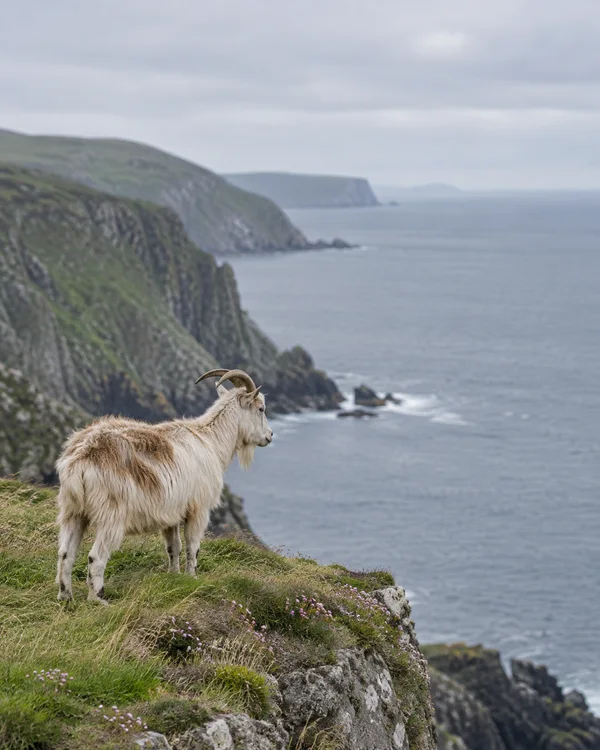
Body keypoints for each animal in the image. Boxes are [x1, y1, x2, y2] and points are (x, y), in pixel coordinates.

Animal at [55, 369, 273, 604]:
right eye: (261, 408)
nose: (270, 436)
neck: (210, 441)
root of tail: (81, 458)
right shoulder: (199, 510)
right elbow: (192, 547)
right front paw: (192, 578)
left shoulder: (172, 514)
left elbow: (173, 547)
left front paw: (174, 576)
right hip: (110, 516)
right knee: (96, 557)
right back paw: (98, 600)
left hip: (73, 511)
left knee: (65, 553)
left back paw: (65, 597)